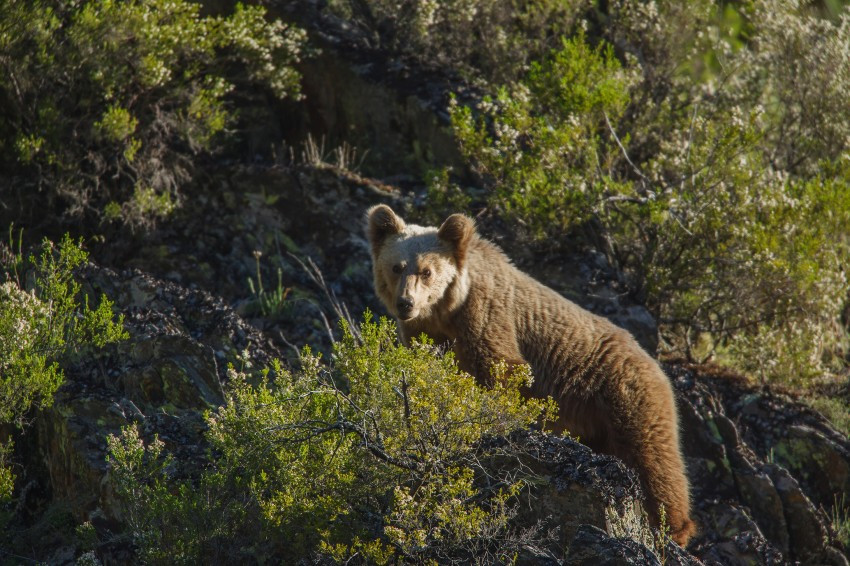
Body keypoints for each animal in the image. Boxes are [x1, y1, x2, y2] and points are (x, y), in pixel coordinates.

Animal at [366, 206, 696, 548]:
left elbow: (501, 370)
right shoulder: (425, 334)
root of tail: (655, 363)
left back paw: (673, 529)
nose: (406, 303)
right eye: (396, 266)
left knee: (652, 458)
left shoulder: (486, 316)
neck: (447, 312)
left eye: (427, 271)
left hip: (624, 394)